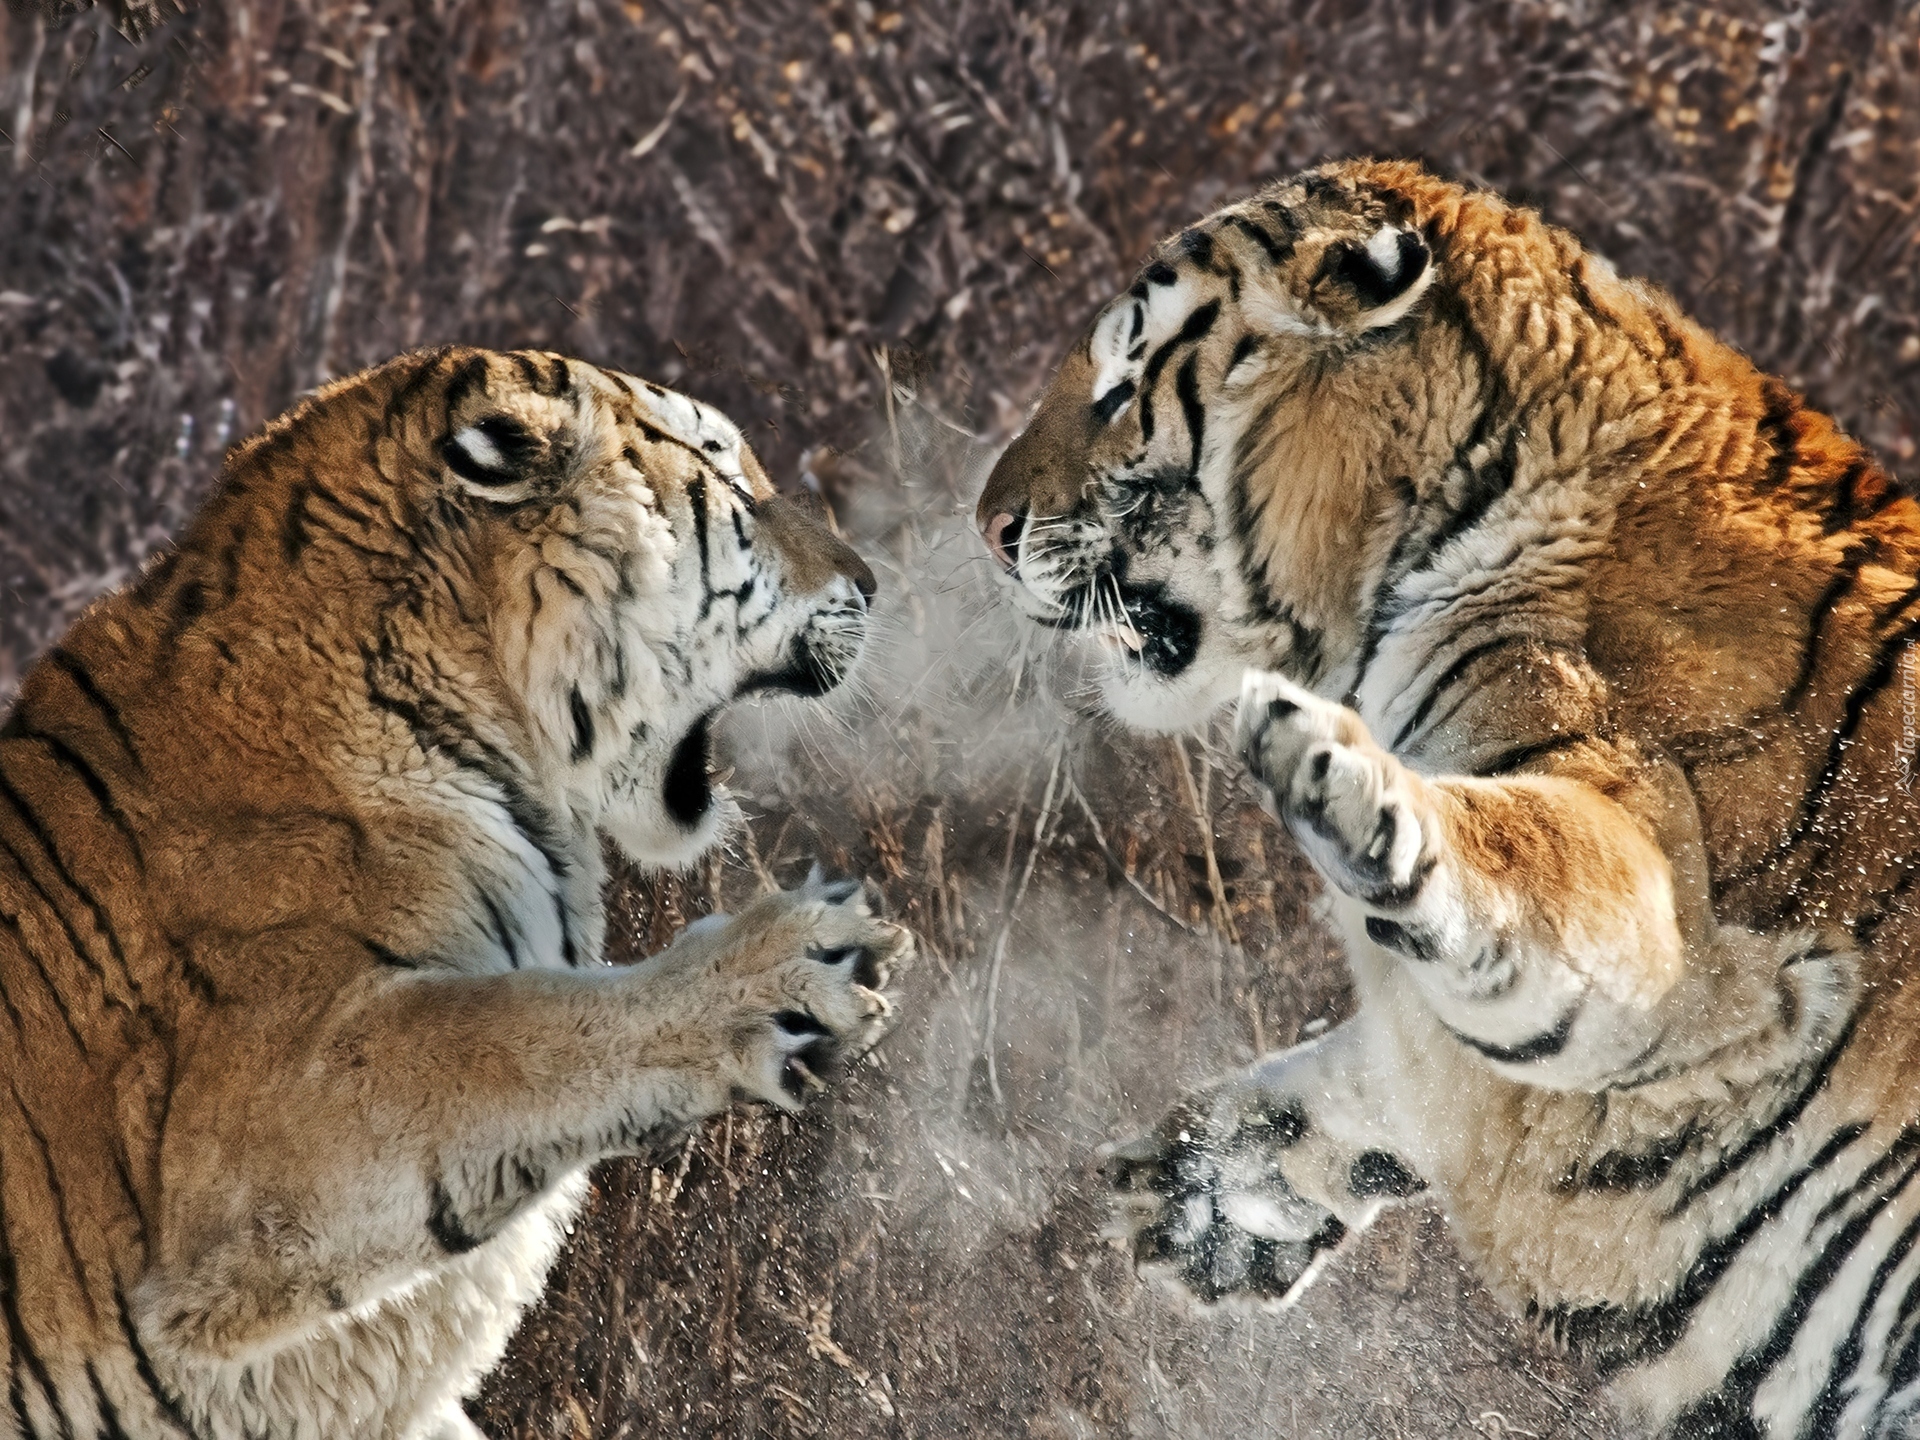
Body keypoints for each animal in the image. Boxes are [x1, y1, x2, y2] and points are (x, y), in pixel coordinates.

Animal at [975, 160, 1920, 1440]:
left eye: (1124, 387)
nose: (987, 530)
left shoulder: (1657, 891)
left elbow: (1517, 876)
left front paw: (1341, 777)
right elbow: (1368, 1066)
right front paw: (1195, 1187)